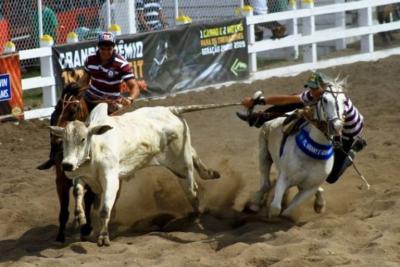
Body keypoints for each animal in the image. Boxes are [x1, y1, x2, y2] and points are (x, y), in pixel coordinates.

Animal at [50, 103, 234, 247]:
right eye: (63, 140)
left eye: (82, 139)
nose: (66, 164)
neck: (96, 147)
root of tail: (170, 109)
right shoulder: (82, 175)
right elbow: (77, 191)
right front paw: (81, 217)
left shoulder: (111, 179)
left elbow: (104, 209)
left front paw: (103, 237)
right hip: (183, 155)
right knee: (194, 155)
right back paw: (210, 173)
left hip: (182, 164)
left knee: (192, 192)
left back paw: (196, 217)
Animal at [248, 76, 348, 219]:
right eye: (325, 99)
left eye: (344, 101)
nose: (337, 126)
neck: (311, 155)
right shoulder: (284, 177)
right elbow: (275, 207)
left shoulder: (310, 188)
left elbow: (288, 211)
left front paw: (318, 206)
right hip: (264, 155)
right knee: (265, 184)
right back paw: (255, 204)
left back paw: (319, 204)